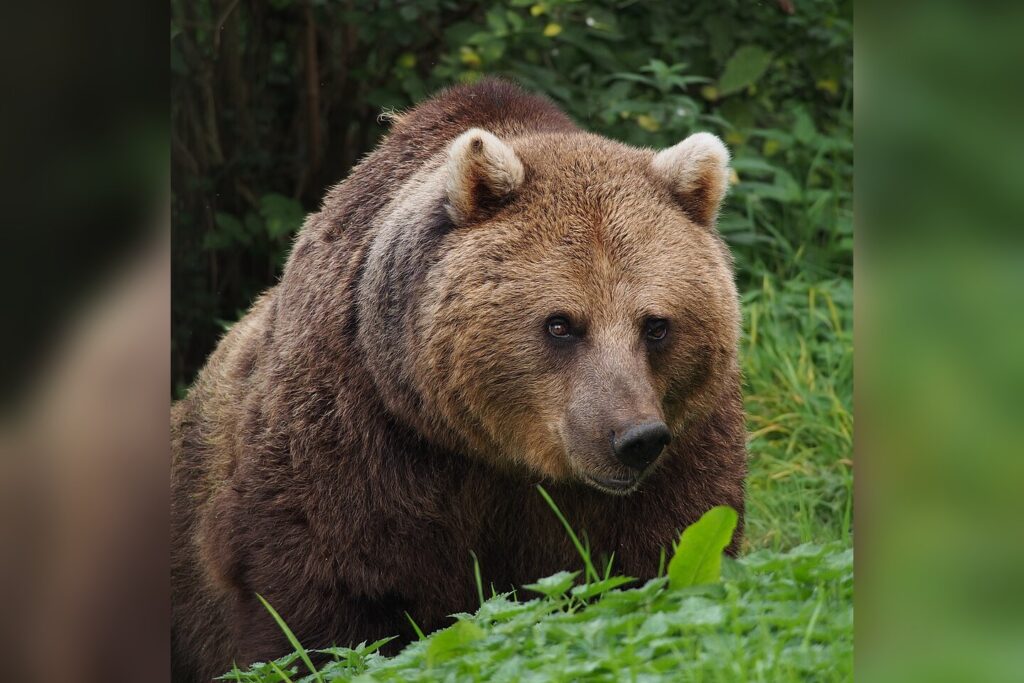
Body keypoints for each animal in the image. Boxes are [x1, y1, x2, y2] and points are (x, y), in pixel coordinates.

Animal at [171, 78, 746, 682]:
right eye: (561, 323)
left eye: (656, 324)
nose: (633, 439)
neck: (495, 454)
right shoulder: (357, 437)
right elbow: (319, 603)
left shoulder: (683, 441)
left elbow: (662, 552)